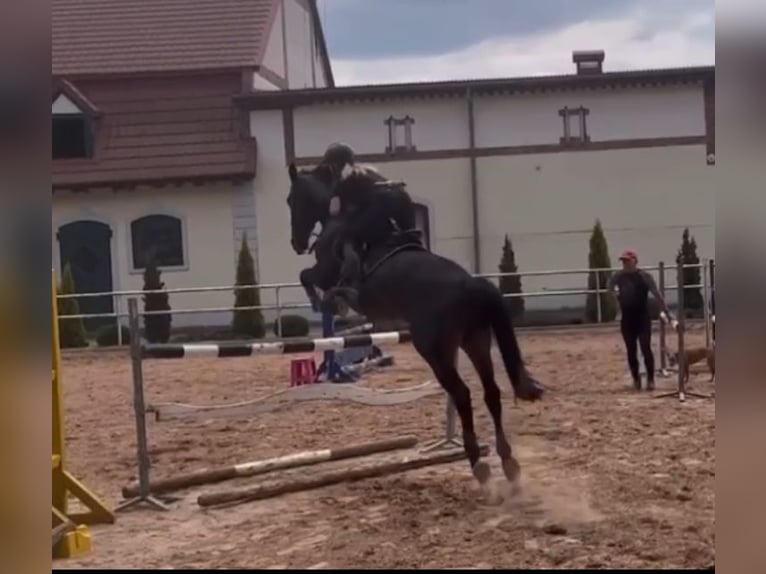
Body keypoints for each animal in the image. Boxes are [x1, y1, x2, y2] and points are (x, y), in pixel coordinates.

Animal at [286, 163, 544, 490]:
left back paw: (478, 464)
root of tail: (471, 285)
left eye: (292, 200)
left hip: (434, 350)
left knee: (462, 394)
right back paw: (508, 462)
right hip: (475, 340)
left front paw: (325, 303)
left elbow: (311, 278)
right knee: (491, 392)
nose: (296, 244)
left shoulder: (337, 278)